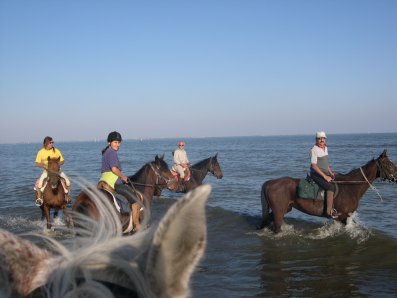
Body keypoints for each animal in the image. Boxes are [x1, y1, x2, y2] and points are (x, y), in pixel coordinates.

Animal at [260, 149, 396, 233]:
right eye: (389, 164)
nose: (396, 176)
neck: (350, 187)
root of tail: (269, 182)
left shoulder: (344, 218)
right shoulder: (342, 217)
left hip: (284, 209)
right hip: (279, 212)